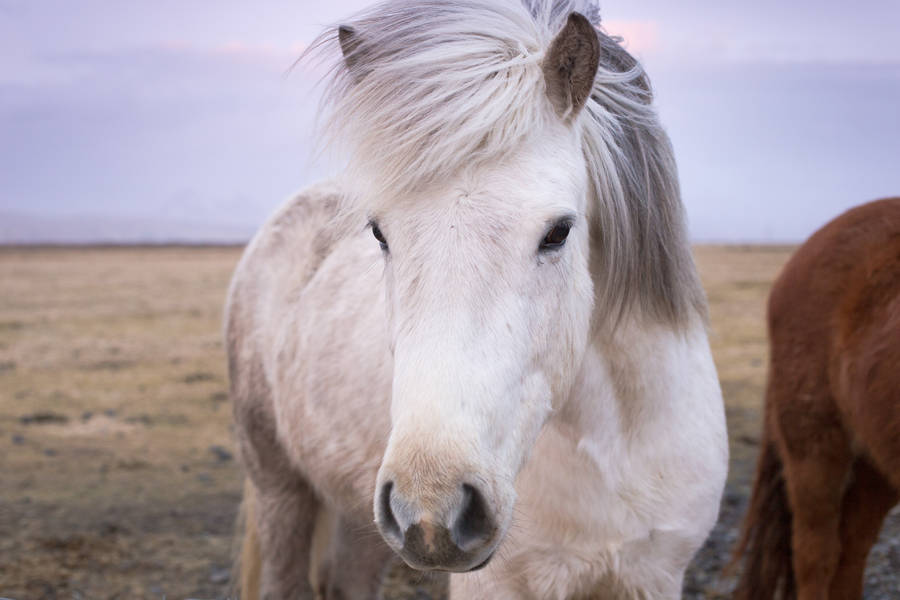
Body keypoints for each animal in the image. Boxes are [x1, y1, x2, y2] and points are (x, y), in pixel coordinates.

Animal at [229, 2, 728, 596]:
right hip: (280, 488)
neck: (613, 449)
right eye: (378, 233)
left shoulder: (654, 573)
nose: (430, 511)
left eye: (558, 232)